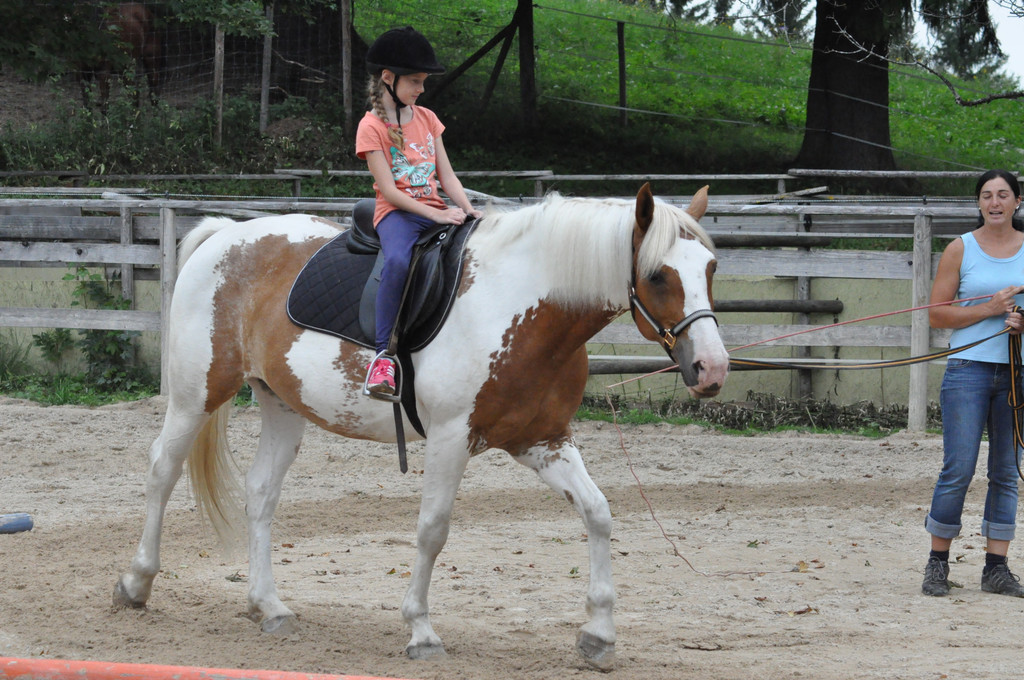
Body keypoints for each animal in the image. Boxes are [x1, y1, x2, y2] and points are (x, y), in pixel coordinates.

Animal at [111, 184, 730, 670]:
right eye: (657, 276)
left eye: (711, 269)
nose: (712, 369)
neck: (521, 305)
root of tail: (225, 234)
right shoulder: (453, 439)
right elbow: (433, 530)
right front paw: (421, 631)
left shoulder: (543, 440)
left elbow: (598, 513)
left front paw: (599, 635)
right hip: (195, 395)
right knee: (161, 471)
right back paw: (136, 582)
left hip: (283, 407)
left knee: (261, 493)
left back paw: (269, 606)